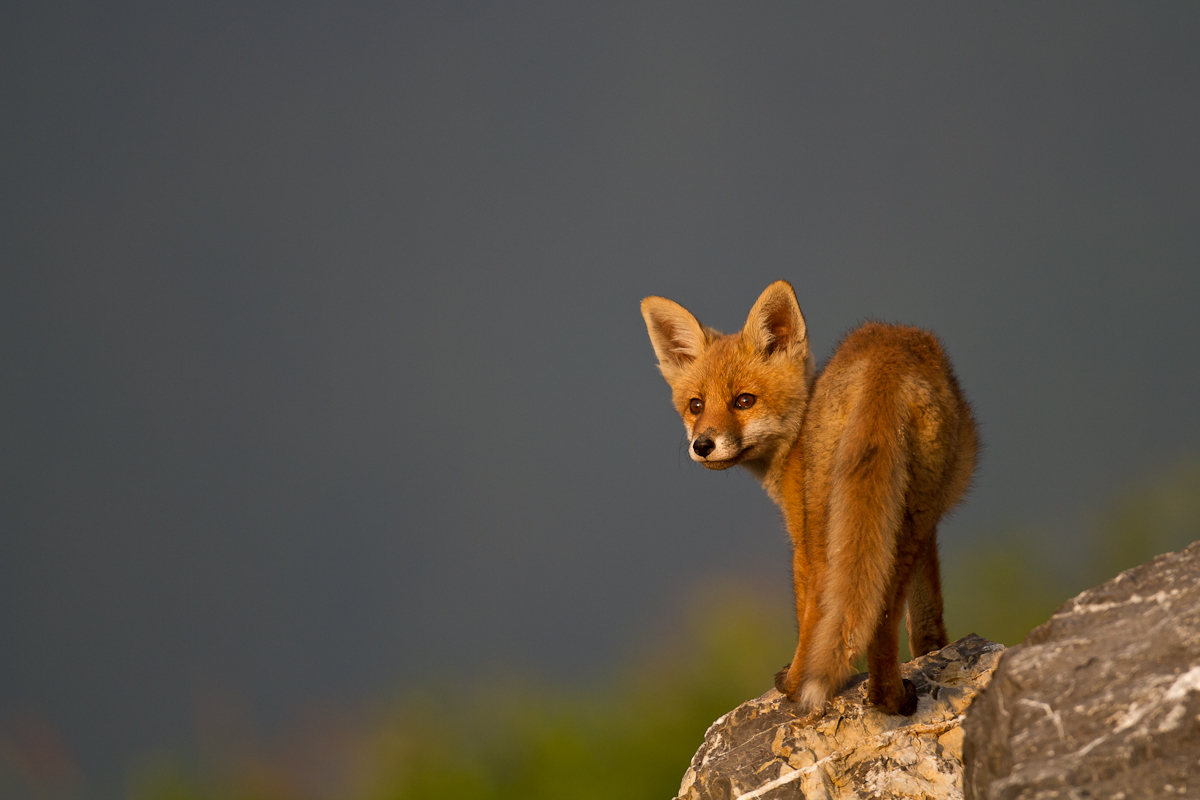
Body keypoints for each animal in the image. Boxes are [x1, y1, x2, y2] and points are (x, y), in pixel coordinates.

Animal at [638, 280, 974, 714]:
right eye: (695, 406)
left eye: (744, 400)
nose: (703, 445)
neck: (791, 444)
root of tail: (886, 362)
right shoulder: (928, 525)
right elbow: (926, 612)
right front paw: (932, 653)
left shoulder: (798, 530)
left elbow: (807, 611)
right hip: (908, 512)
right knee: (883, 607)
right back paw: (891, 697)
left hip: (822, 517)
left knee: (826, 602)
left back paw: (809, 687)